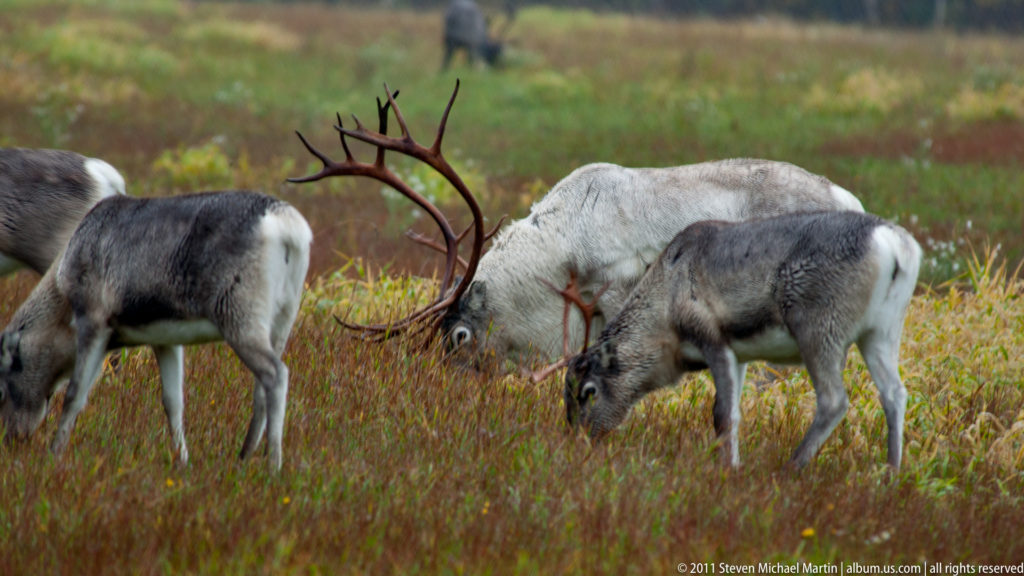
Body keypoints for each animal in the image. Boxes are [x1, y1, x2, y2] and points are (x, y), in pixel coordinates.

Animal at [0, 191, 312, 471]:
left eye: (4, 380)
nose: (12, 438)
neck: (62, 296)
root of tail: (291, 229)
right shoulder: (166, 341)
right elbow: (173, 403)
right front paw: (182, 461)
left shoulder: (93, 321)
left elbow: (74, 395)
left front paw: (55, 454)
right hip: (282, 320)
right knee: (261, 387)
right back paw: (244, 457)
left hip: (240, 318)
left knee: (276, 374)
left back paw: (273, 465)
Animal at [563, 210, 922, 470]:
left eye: (588, 392)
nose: (578, 443)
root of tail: (895, 246)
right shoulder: (741, 356)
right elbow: (732, 412)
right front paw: (732, 463)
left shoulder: (712, 339)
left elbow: (723, 414)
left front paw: (728, 469)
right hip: (881, 331)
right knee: (894, 394)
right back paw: (891, 471)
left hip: (818, 329)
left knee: (834, 400)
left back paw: (790, 467)